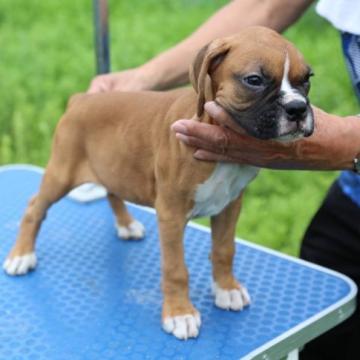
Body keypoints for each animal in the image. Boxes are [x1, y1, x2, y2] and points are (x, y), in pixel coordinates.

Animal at [2, 26, 314, 338]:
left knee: (112, 192)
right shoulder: (171, 214)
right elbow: (176, 270)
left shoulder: (229, 205)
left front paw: (227, 289)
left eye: (307, 79)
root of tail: (80, 99)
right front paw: (180, 313)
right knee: (34, 208)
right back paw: (21, 255)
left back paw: (126, 225)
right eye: (254, 80)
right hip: (61, 173)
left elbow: (224, 250)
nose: (298, 108)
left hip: (113, 165)